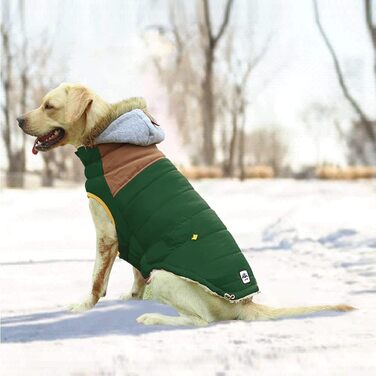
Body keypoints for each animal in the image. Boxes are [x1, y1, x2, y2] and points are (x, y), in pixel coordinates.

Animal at [16, 83, 354, 324]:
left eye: (49, 106)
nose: (18, 119)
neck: (104, 135)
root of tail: (246, 302)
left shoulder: (107, 234)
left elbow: (97, 280)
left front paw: (83, 306)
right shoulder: (134, 235)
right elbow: (135, 271)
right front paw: (132, 296)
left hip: (164, 276)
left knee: (202, 320)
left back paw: (152, 316)